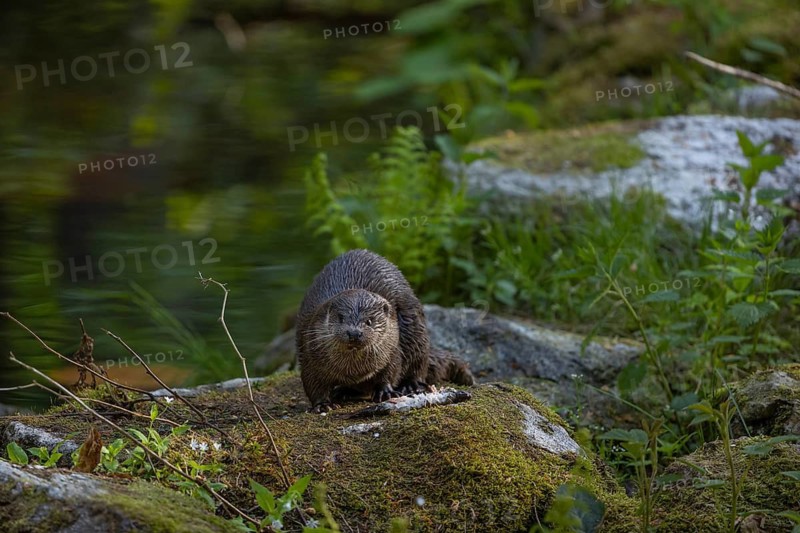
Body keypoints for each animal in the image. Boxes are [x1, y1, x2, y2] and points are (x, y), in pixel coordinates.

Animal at [296, 249, 474, 412]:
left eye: (369, 321)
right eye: (341, 318)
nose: (354, 333)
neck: (354, 370)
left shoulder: (392, 348)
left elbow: (391, 370)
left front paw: (385, 391)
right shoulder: (310, 354)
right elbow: (312, 383)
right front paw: (322, 404)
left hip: (415, 329)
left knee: (419, 363)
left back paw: (410, 385)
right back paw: (344, 392)